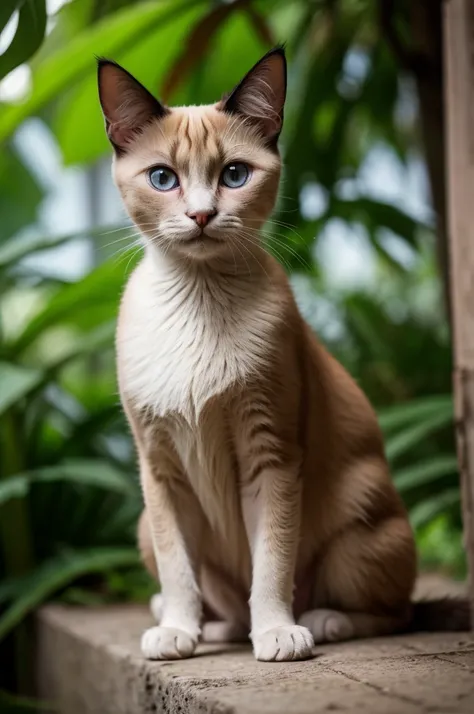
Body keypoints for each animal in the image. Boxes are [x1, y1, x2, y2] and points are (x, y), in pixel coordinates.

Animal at [98, 47, 468, 660]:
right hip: (143, 527)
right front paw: (177, 629)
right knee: (217, 599)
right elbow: (179, 571)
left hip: (359, 528)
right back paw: (206, 628)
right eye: (162, 178)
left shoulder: (271, 452)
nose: (201, 215)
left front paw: (276, 632)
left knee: (396, 612)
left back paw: (321, 620)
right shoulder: (160, 470)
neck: (199, 298)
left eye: (234, 175)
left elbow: (272, 558)